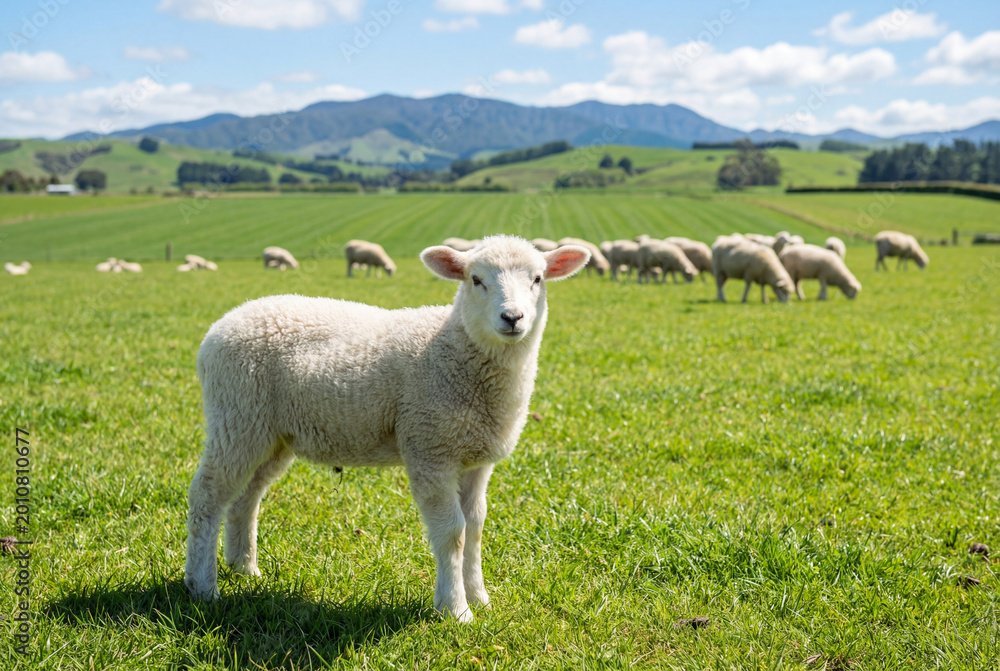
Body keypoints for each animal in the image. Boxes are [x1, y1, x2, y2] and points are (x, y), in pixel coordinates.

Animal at [184, 235, 590, 622]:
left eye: (537, 279)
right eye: (475, 280)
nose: (512, 317)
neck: (454, 349)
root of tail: (221, 325)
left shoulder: (475, 459)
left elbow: (475, 528)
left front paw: (479, 597)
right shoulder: (430, 449)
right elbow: (452, 533)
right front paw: (455, 609)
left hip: (271, 434)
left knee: (246, 497)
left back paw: (244, 567)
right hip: (236, 416)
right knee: (207, 496)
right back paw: (202, 586)